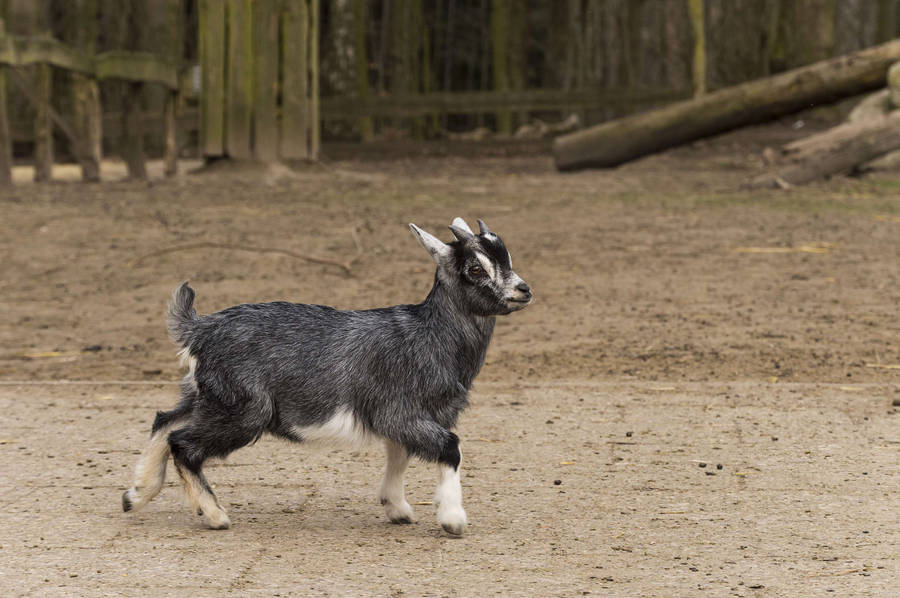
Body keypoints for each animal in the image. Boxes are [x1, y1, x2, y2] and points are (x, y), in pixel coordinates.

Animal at [122, 218, 532, 536]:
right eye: (475, 269)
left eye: (507, 258)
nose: (522, 290)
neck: (430, 335)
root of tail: (199, 329)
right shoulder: (401, 413)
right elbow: (449, 448)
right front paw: (452, 519)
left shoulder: (402, 419)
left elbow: (399, 454)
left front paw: (396, 508)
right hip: (243, 409)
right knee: (182, 443)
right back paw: (213, 514)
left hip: (207, 394)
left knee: (164, 420)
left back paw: (136, 494)